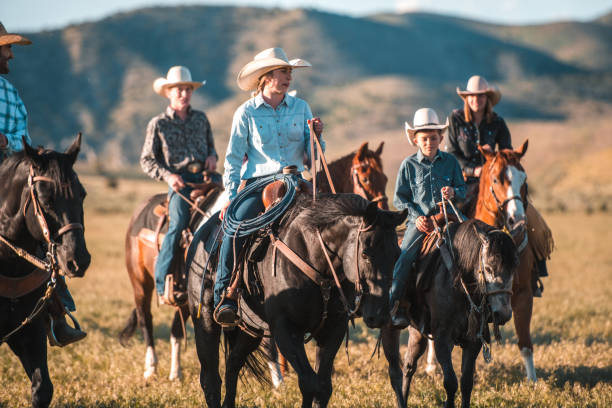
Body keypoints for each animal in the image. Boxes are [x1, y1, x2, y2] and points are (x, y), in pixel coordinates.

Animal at [186, 194, 406, 408]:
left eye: (397, 255)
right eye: (365, 253)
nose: (380, 315)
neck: (313, 257)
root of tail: (200, 234)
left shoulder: (333, 330)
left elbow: (323, 388)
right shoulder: (286, 330)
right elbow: (309, 382)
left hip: (251, 330)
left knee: (233, 364)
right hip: (205, 320)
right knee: (210, 379)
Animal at [382, 220, 520, 408]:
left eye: (514, 268)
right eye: (489, 268)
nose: (503, 314)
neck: (457, 279)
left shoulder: (474, 342)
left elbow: (466, 383)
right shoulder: (442, 339)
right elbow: (450, 382)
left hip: (417, 331)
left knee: (409, 366)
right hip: (389, 327)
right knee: (395, 369)